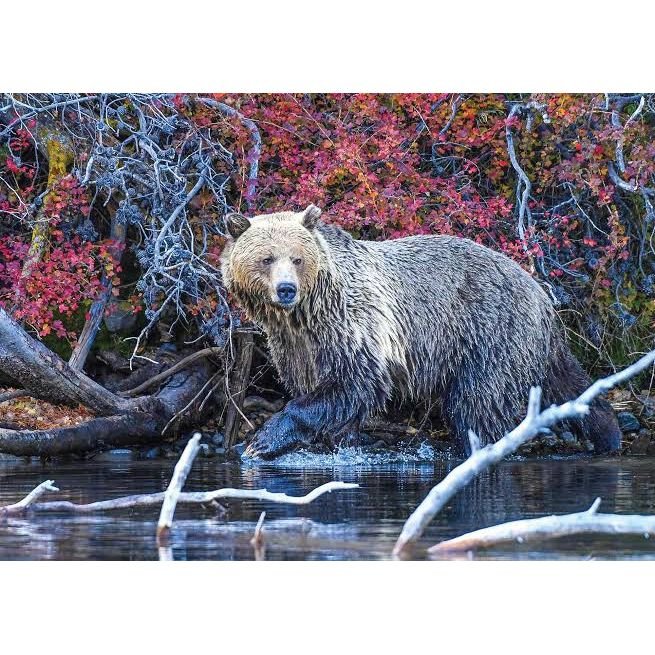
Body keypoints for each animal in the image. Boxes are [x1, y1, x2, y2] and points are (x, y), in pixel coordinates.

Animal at [220, 204, 622, 459]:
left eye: (297, 258)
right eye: (266, 258)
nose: (286, 289)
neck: (305, 314)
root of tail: (540, 292)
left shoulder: (353, 326)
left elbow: (353, 384)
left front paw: (262, 440)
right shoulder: (296, 346)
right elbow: (318, 390)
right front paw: (334, 442)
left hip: (491, 333)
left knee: (478, 402)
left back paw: (476, 449)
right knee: (568, 380)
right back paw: (608, 432)